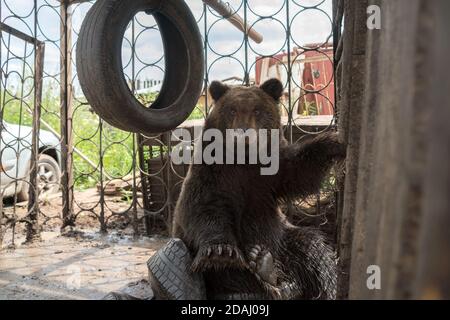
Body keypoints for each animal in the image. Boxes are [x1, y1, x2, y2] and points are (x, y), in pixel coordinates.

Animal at [174, 78, 346, 300]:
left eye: (257, 110)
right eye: (232, 110)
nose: (243, 135)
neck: (244, 160)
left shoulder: (270, 176)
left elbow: (300, 171)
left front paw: (333, 141)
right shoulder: (212, 174)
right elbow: (204, 208)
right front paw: (220, 252)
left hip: (283, 238)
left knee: (312, 247)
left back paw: (275, 272)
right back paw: (267, 271)